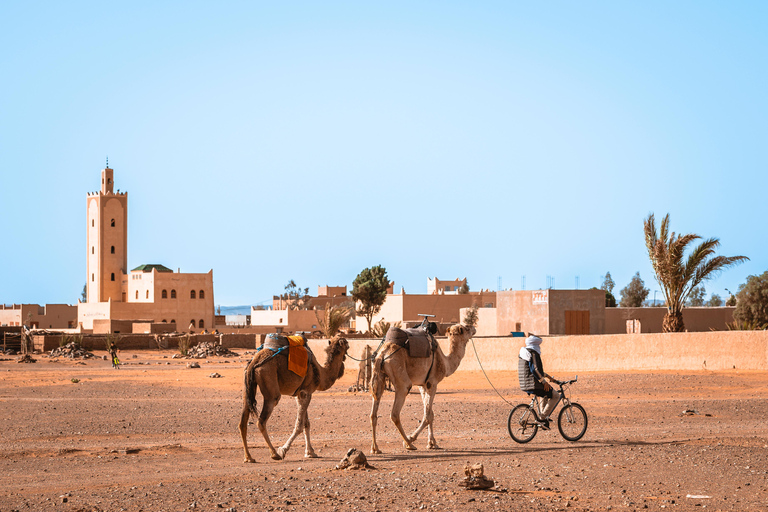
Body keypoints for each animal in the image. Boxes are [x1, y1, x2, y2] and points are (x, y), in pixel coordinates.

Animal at [369, 323, 476, 453]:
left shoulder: (422, 385)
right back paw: (409, 443)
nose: (474, 328)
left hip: (378, 375)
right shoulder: (432, 383)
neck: (446, 363)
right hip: (400, 377)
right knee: (395, 413)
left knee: (373, 412)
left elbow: (430, 413)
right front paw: (413, 438)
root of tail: (383, 354)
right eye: (466, 328)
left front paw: (432, 443)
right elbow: (428, 416)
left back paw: (375, 448)